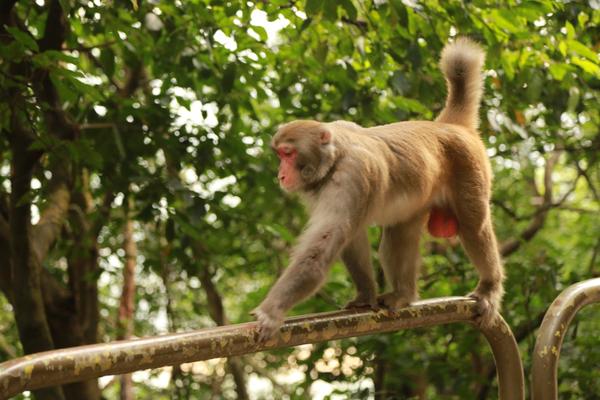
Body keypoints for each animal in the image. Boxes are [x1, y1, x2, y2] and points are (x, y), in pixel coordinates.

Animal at [251, 38, 504, 340]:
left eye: (288, 154)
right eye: (279, 154)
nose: (281, 174)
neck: (335, 158)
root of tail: (448, 126)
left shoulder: (352, 176)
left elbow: (322, 246)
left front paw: (271, 311)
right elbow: (352, 237)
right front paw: (364, 296)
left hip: (470, 168)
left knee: (474, 228)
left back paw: (489, 287)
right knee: (399, 235)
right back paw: (404, 295)